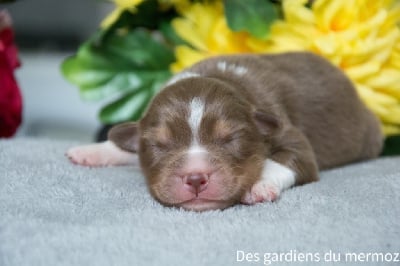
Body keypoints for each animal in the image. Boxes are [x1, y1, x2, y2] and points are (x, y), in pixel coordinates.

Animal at [67, 51, 382, 210]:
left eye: (231, 138)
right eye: (159, 145)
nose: (195, 178)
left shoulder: (288, 132)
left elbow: (288, 159)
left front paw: (258, 185)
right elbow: (124, 144)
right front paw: (92, 150)